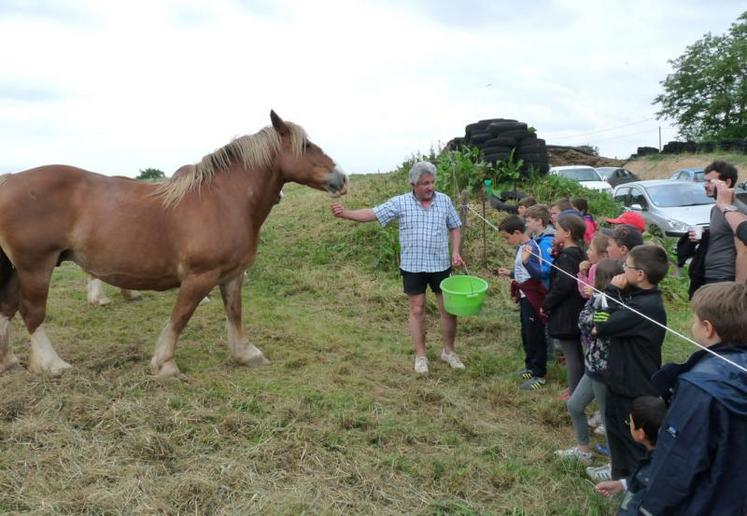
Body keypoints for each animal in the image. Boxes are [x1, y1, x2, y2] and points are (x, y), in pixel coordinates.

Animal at [0, 111, 348, 376]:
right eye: (307, 146)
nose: (342, 179)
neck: (223, 200)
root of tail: (9, 180)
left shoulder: (232, 275)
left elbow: (235, 314)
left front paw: (247, 353)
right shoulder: (200, 277)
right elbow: (180, 317)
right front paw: (165, 364)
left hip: (18, 270)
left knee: (7, 308)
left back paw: (9, 361)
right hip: (35, 266)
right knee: (31, 313)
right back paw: (52, 364)